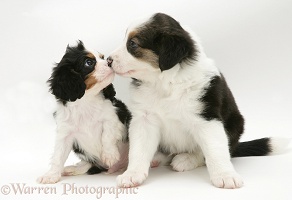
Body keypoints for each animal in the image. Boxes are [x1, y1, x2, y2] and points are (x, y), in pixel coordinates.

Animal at [37, 41, 130, 184]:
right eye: (89, 62)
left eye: (102, 57)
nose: (109, 61)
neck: (86, 101)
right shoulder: (65, 133)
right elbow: (58, 156)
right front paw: (51, 175)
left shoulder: (113, 117)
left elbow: (107, 135)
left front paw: (109, 155)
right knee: (89, 164)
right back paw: (72, 169)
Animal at [108, 13, 288, 188]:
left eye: (132, 44)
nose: (109, 60)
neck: (165, 83)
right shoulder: (144, 119)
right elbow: (138, 150)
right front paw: (132, 175)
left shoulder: (206, 119)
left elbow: (215, 150)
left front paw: (225, 176)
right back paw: (157, 158)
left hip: (235, 126)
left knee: (210, 152)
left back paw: (185, 159)